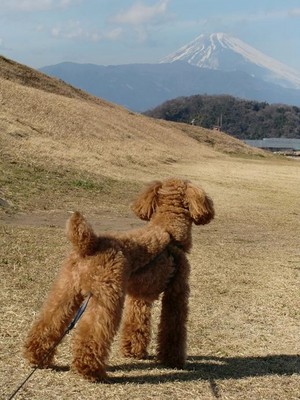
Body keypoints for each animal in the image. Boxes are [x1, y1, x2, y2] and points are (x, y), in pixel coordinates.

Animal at [24, 178, 214, 382]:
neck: (169, 234)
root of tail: (92, 244)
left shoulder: (140, 297)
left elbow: (137, 323)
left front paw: (133, 352)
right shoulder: (176, 294)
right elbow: (174, 328)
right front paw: (173, 360)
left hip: (66, 289)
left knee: (48, 322)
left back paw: (37, 357)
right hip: (107, 297)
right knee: (92, 334)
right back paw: (89, 370)